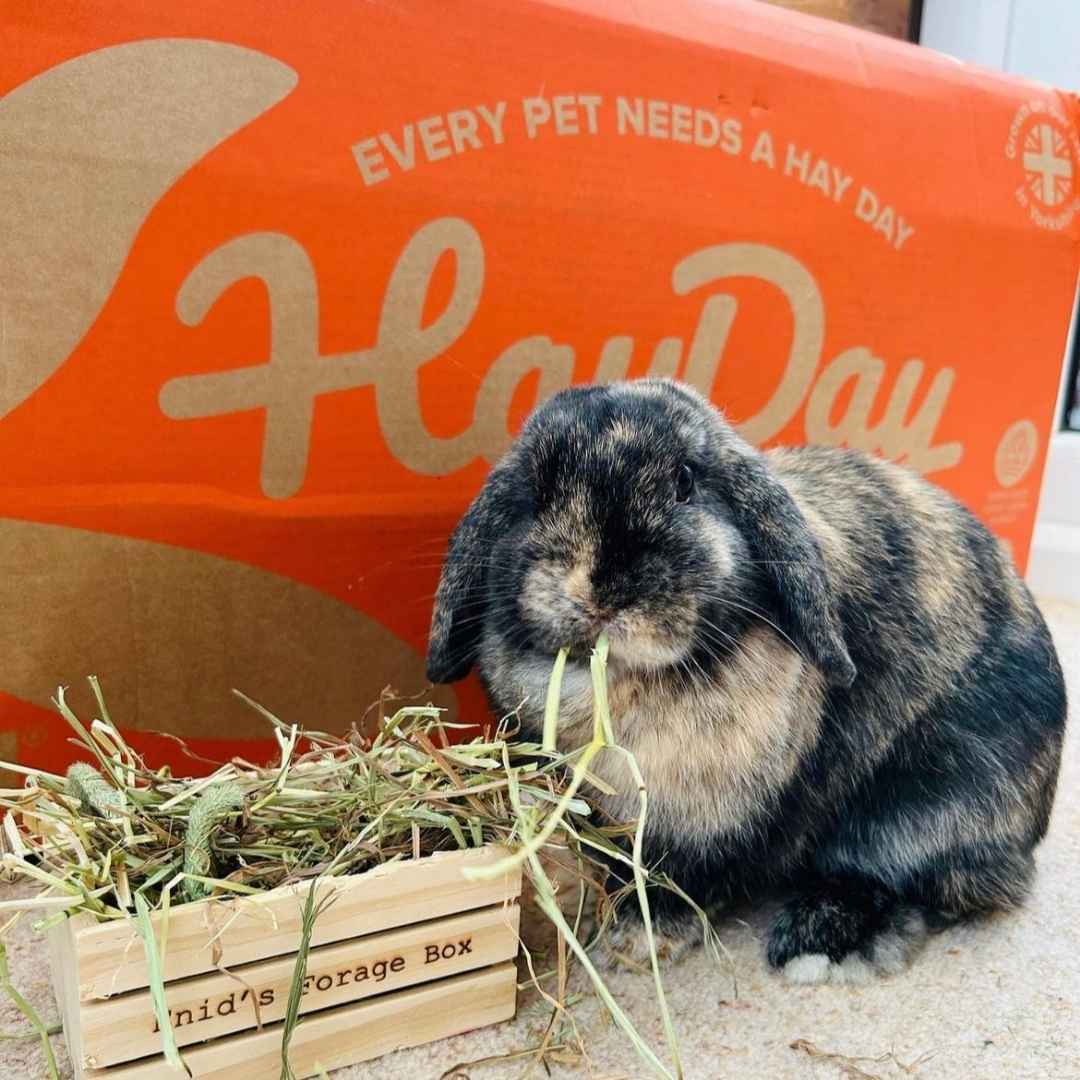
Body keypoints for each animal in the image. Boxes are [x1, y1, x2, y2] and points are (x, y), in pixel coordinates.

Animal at [423, 375, 1062, 984]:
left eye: (685, 481)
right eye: (537, 492)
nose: (604, 587)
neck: (626, 682)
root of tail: (1033, 828)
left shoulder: (709, 828)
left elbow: (685, 883)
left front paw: (636, 943)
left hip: (931, 805)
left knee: (922, 883)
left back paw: (820, 944)